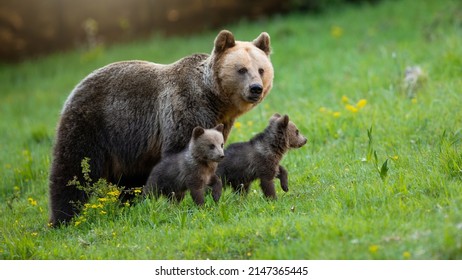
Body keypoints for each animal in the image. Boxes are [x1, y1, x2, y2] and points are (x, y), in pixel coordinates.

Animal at [48, 30, 272, 225]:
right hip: (93, 124)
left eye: (261, 69)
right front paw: (181, 200)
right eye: (241, 69)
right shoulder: (185, 110)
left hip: (129, 148)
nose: (256, 88)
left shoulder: (219, 124)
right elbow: (181, 155)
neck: (214, 99)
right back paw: (62, 218)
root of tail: (77, 87)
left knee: (129, 181)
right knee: (72, 169)